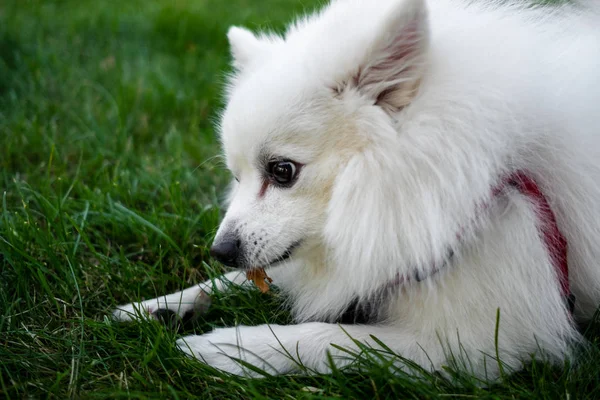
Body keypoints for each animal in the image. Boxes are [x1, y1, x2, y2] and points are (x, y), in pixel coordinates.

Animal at [115, 0, 600, 382]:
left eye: (282, 171)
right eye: (237, 177)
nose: (220, 250)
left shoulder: (480, 341)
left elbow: (329, 338)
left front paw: (229, 347)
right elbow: (235, 282)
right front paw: (159, 307)